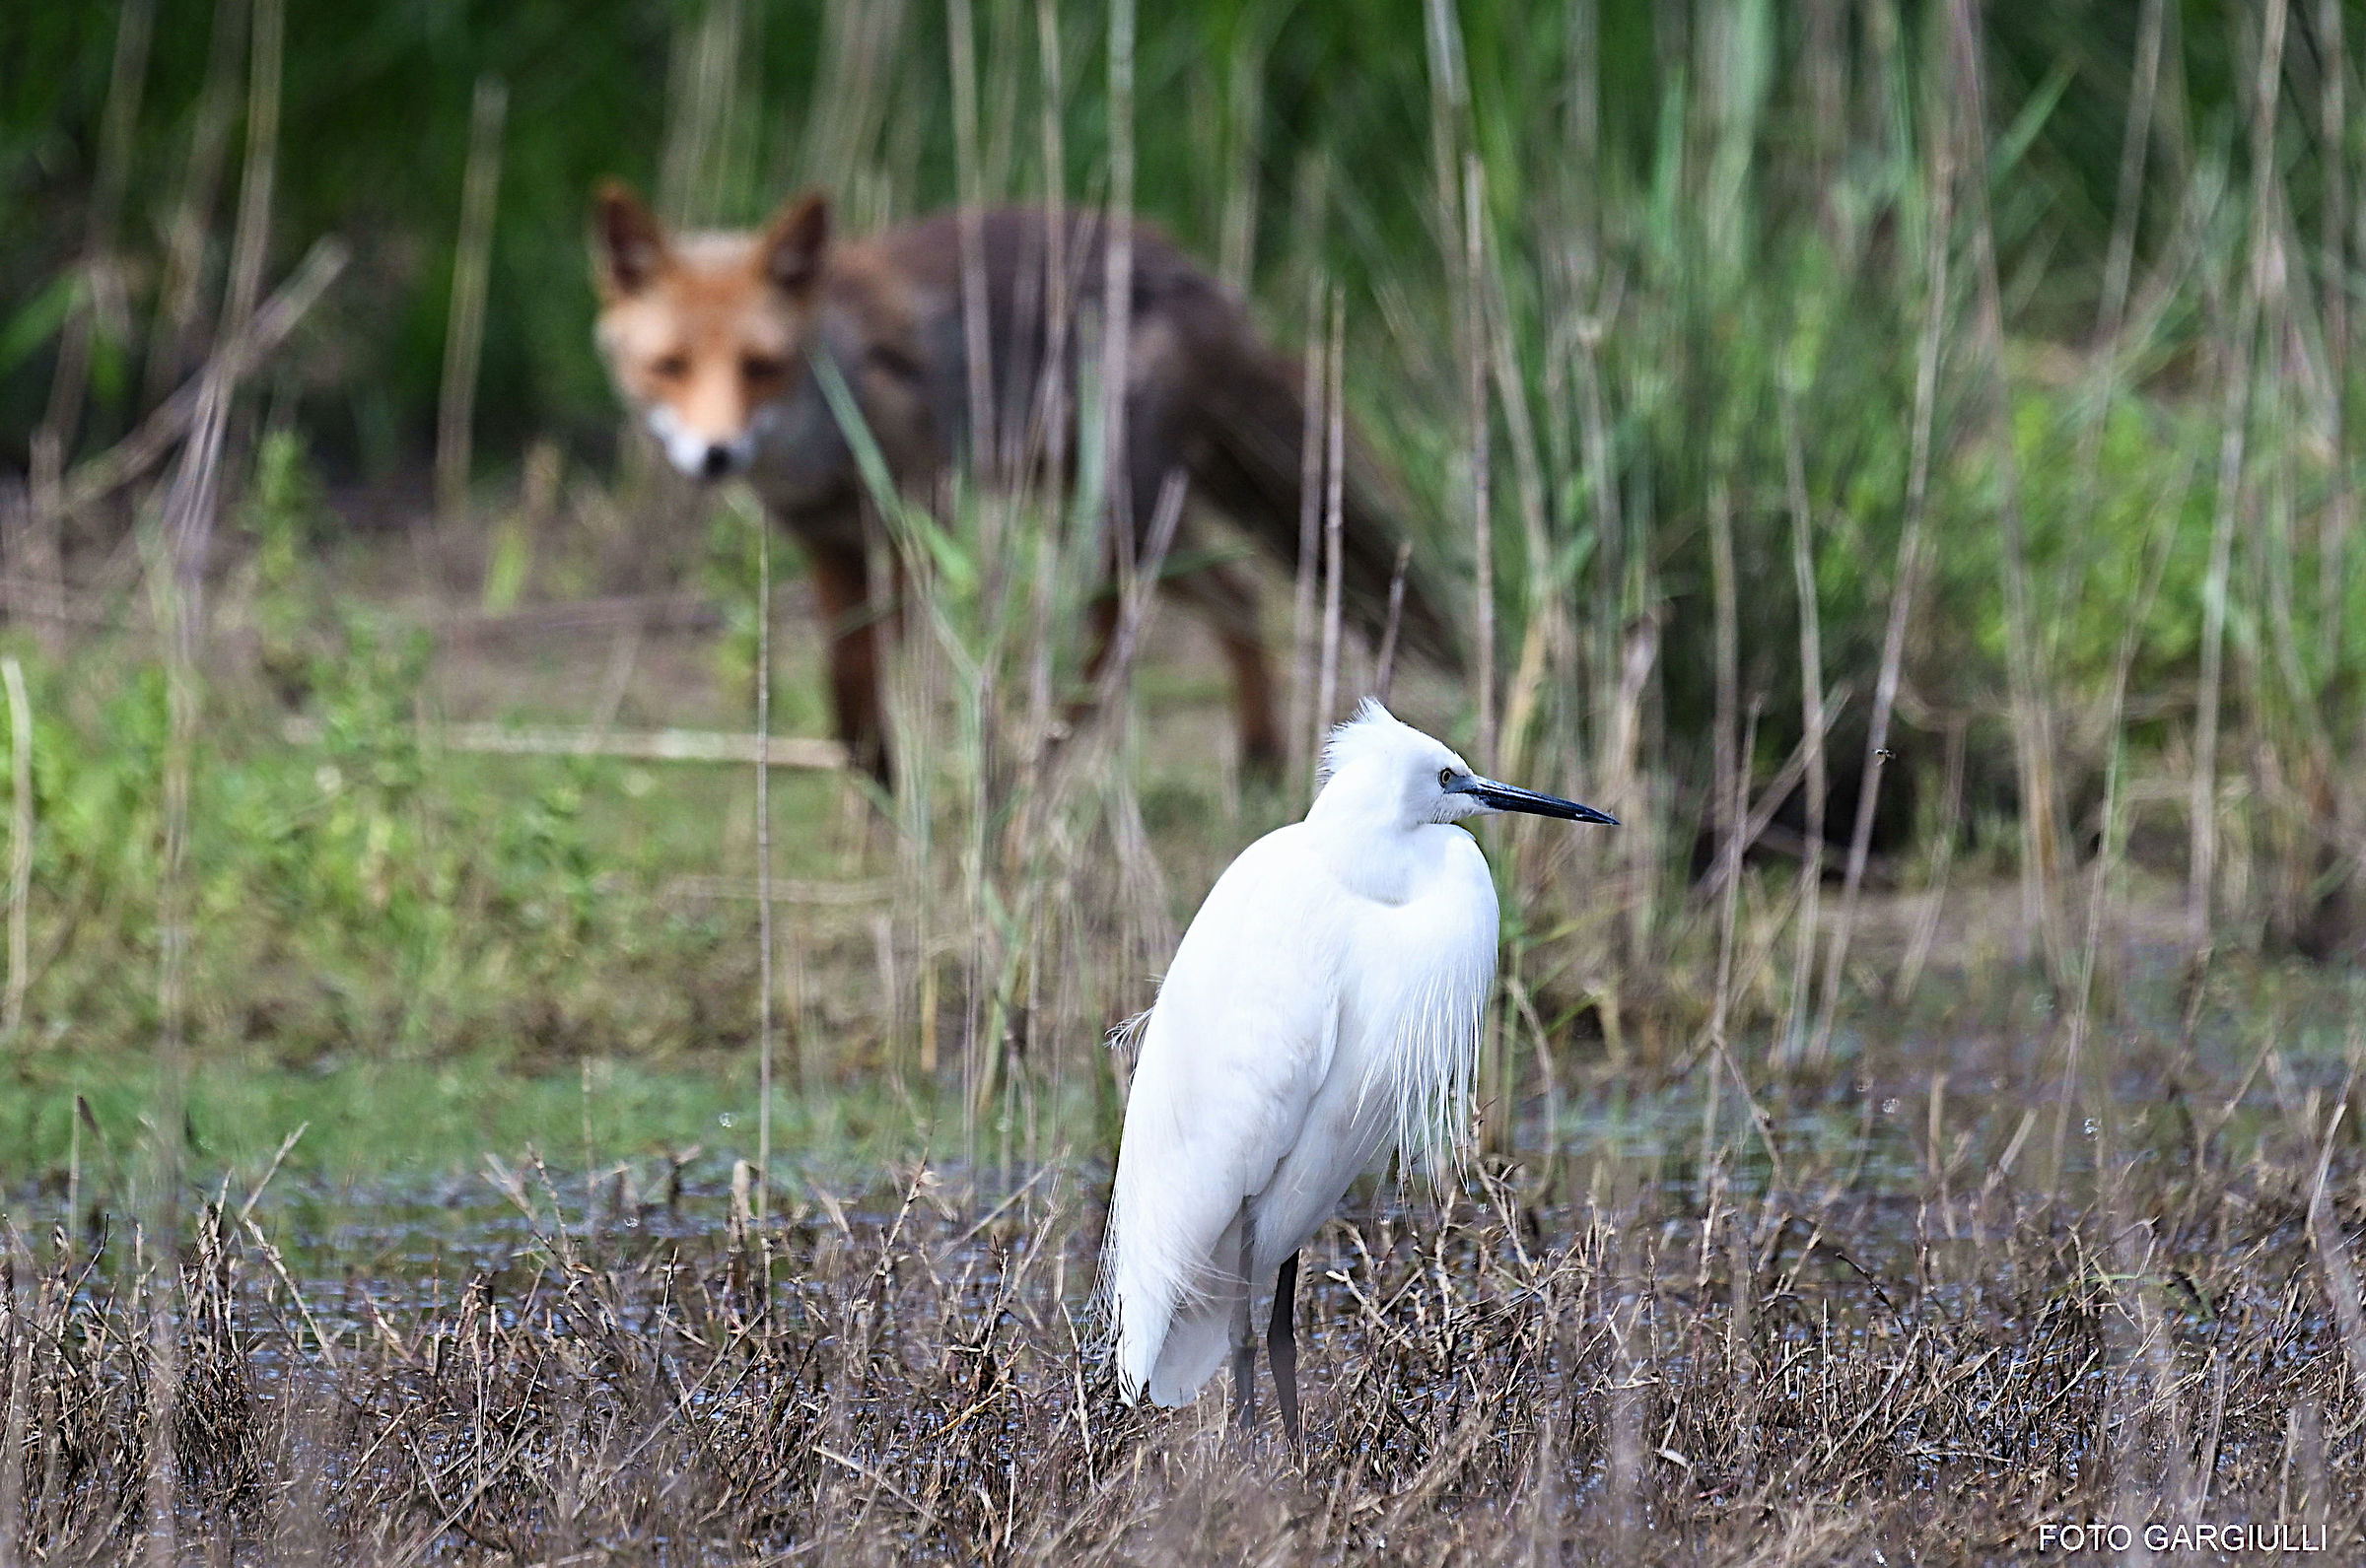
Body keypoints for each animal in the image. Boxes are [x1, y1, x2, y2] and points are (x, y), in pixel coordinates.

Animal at [590, 182, 1455, 784]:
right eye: (669, 367)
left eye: (760, 366)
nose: (717, 454)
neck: (830, 407)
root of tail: (1198, 275)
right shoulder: (825, 541)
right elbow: (845, 676)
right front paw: (871, 783)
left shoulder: (916, 516)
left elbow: (874, 663)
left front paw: (889, 790)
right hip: (1134, 513)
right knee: (1237, 598)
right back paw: (1257, 757)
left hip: (1110, 515)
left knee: (1118, 631)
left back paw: (1043, 754)